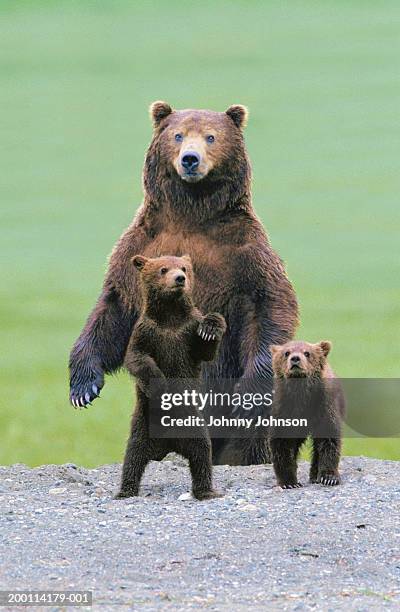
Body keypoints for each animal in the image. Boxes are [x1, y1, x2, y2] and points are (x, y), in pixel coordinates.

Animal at [69, 100, 296, 464]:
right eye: (177, 134)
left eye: (211, 136)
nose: (190, 158)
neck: (190, 214)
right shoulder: (139, 247)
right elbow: (114, 308)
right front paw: (83, 386)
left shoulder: (245, 255)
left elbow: (269, 305)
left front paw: (248, 396)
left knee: (247, 441)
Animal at [117, 256, 227, 500]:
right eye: (163, 269)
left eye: (184, 268)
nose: (179, 278)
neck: (170, 316)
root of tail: (167, 445)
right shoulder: (147, 331)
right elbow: (137, 358)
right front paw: (160, 385)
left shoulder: (188, 330)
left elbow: (205, 350)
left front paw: (212, 326)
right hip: (143, 425)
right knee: (133, 457)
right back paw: (125, 490)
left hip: (192, 424)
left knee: (201, 452)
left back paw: (207, 491)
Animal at [268, 340, 346, 488]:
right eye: (287, 352)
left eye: (307, 353)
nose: (295, 358)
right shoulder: (284, 409)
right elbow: (282, 443)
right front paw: (289, 482)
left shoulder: (324, 406)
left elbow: (329, 438)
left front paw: (329, 477)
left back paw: (315, 476)